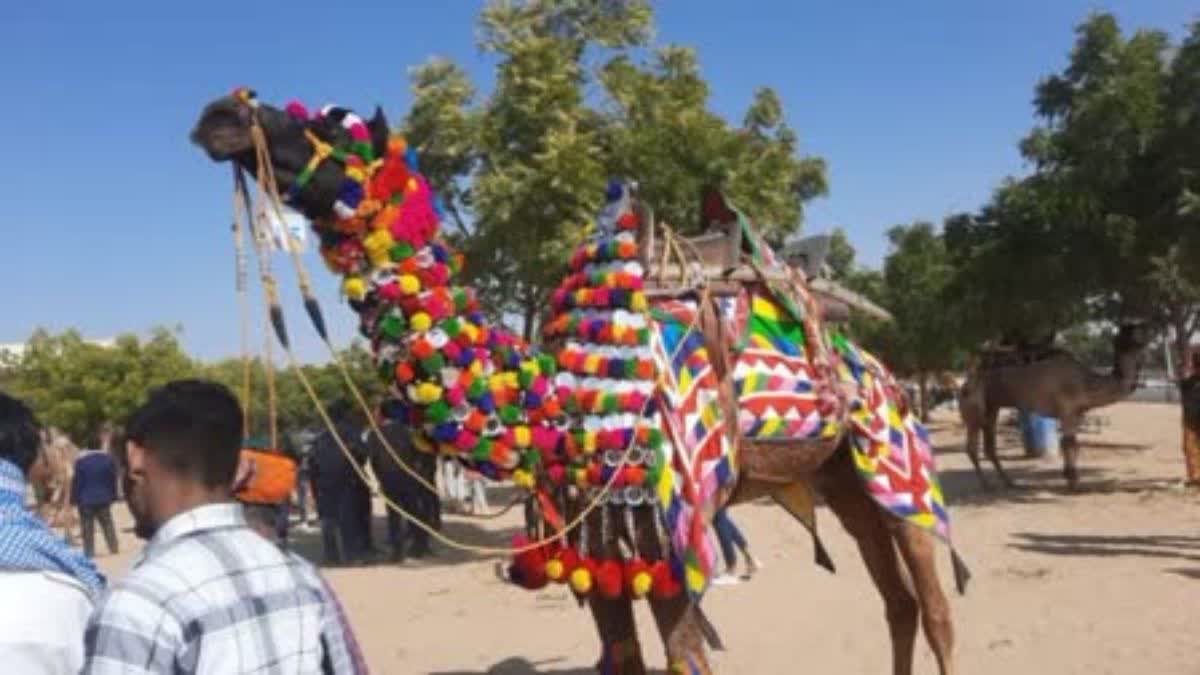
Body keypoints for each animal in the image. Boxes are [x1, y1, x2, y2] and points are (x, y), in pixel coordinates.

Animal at [194, 90, 964, 672]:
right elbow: (622, 657)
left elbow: (687, 659)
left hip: (893, 457)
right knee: (896, 601)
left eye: (331, 123)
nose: (221, 112)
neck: (554, 397)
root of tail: (877, 366)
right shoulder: (596, 547)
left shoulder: (669, 537)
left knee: (933, 604)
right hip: (838, 477)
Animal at [955, 321, 1152, 487]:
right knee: (972, 446)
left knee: (989, 446)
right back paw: (986, 485)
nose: (1149, 329)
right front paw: (1072, 482)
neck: (1086, 383)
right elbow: (1069, 443)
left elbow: (1072, 443)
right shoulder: (1067, 410)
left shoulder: (1076, 412)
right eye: (1135, 332)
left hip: (992, 406)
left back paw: (1009, 482)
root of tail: (964, 383)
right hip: (974, 406)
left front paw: (1069, 477)